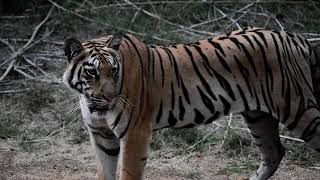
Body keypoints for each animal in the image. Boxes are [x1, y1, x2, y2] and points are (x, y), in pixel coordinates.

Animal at [62, 27, 320, 180]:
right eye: (92, 72)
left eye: (114, 71)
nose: (109, 97)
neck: (92, 104)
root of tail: (297, 38)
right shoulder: (102, 136)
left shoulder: (135, 134)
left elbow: (128, 173)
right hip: (258, 116)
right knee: (273, 153)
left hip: (298, 108)